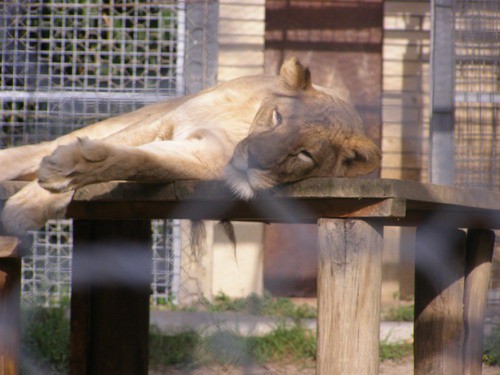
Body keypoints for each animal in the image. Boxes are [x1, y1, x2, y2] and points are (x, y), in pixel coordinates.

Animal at [0, 57, 378, 235]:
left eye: (304, 154)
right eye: (278, 117)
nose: (252, 161)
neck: (239, 129)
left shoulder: (198, 159)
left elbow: (133, 161)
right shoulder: (165, 121)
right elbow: (117, 147)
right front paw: (37, 194)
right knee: (48, 145)